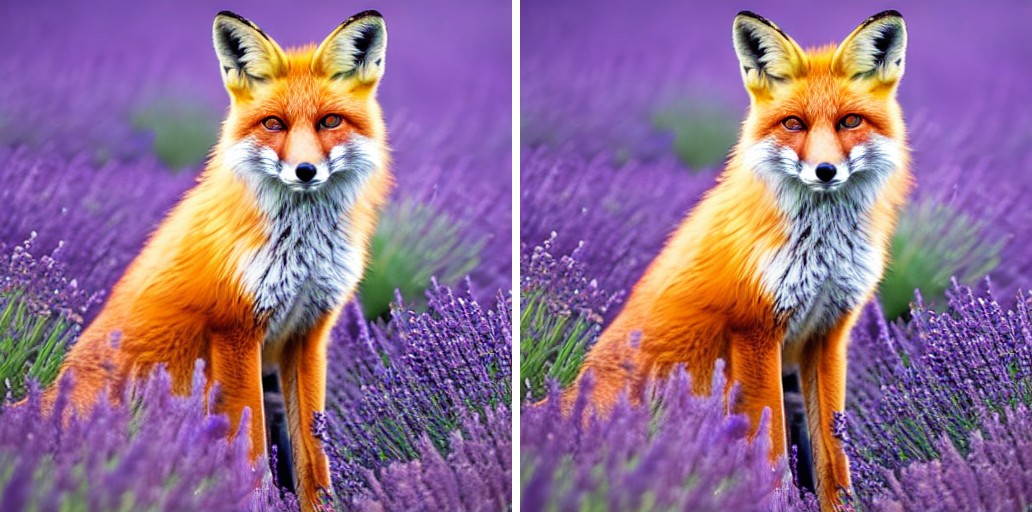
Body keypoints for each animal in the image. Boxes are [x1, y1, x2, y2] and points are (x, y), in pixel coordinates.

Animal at [41, 10, 392, 509]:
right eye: (273, 124)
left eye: (329, 121)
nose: (305, 171)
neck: (301, 249)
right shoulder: (236, 329)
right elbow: (252, 451)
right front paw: (257, 502)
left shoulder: (308, 334)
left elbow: (313, 454)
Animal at [562, 10, 910, 511]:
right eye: (793, 124)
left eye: (850, 121)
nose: (825, 171)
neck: (821, 249)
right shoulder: (756, 330)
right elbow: (773, 449)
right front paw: (778, 502)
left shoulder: (828, 333)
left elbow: (832, 453)